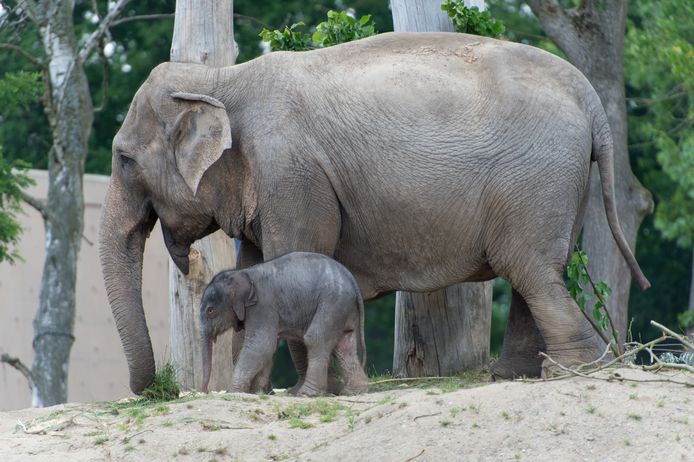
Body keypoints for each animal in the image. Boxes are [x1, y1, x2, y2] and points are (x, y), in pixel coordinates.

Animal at [198, 251, 368, 396]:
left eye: (210, 311)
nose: (205, 392)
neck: (242, 272)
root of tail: (350, 278)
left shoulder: (263, 307)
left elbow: (260, 345)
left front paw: (233, 392)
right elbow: (270, 347)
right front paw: (258, 392)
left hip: (332, 302)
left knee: (315, 338)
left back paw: (307, 394)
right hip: (343, 307)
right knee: (345, 345)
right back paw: (354, 391)